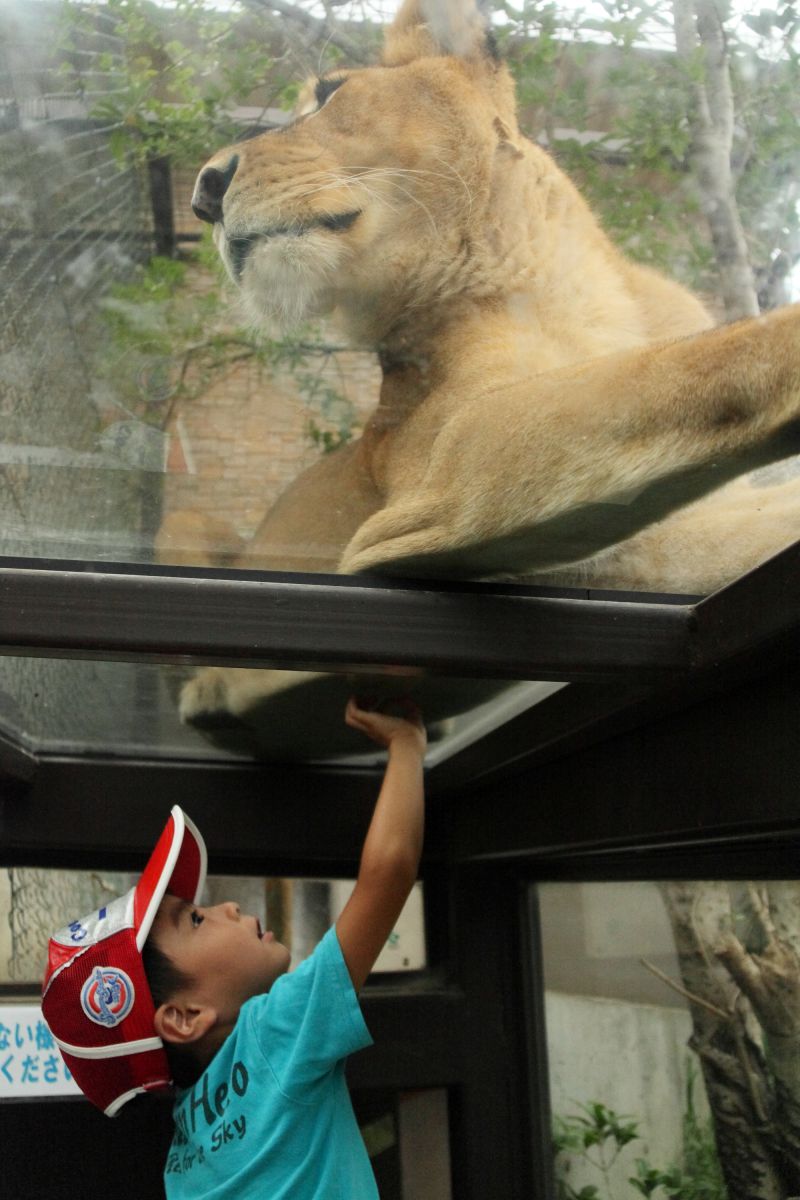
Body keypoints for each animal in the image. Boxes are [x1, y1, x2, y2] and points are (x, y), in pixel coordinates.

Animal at [159, 0, 800, 748]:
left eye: (328, 94)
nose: (204, 193)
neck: (572, 289)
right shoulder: (442, 472)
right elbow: (669, 374)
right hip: (190, 520)